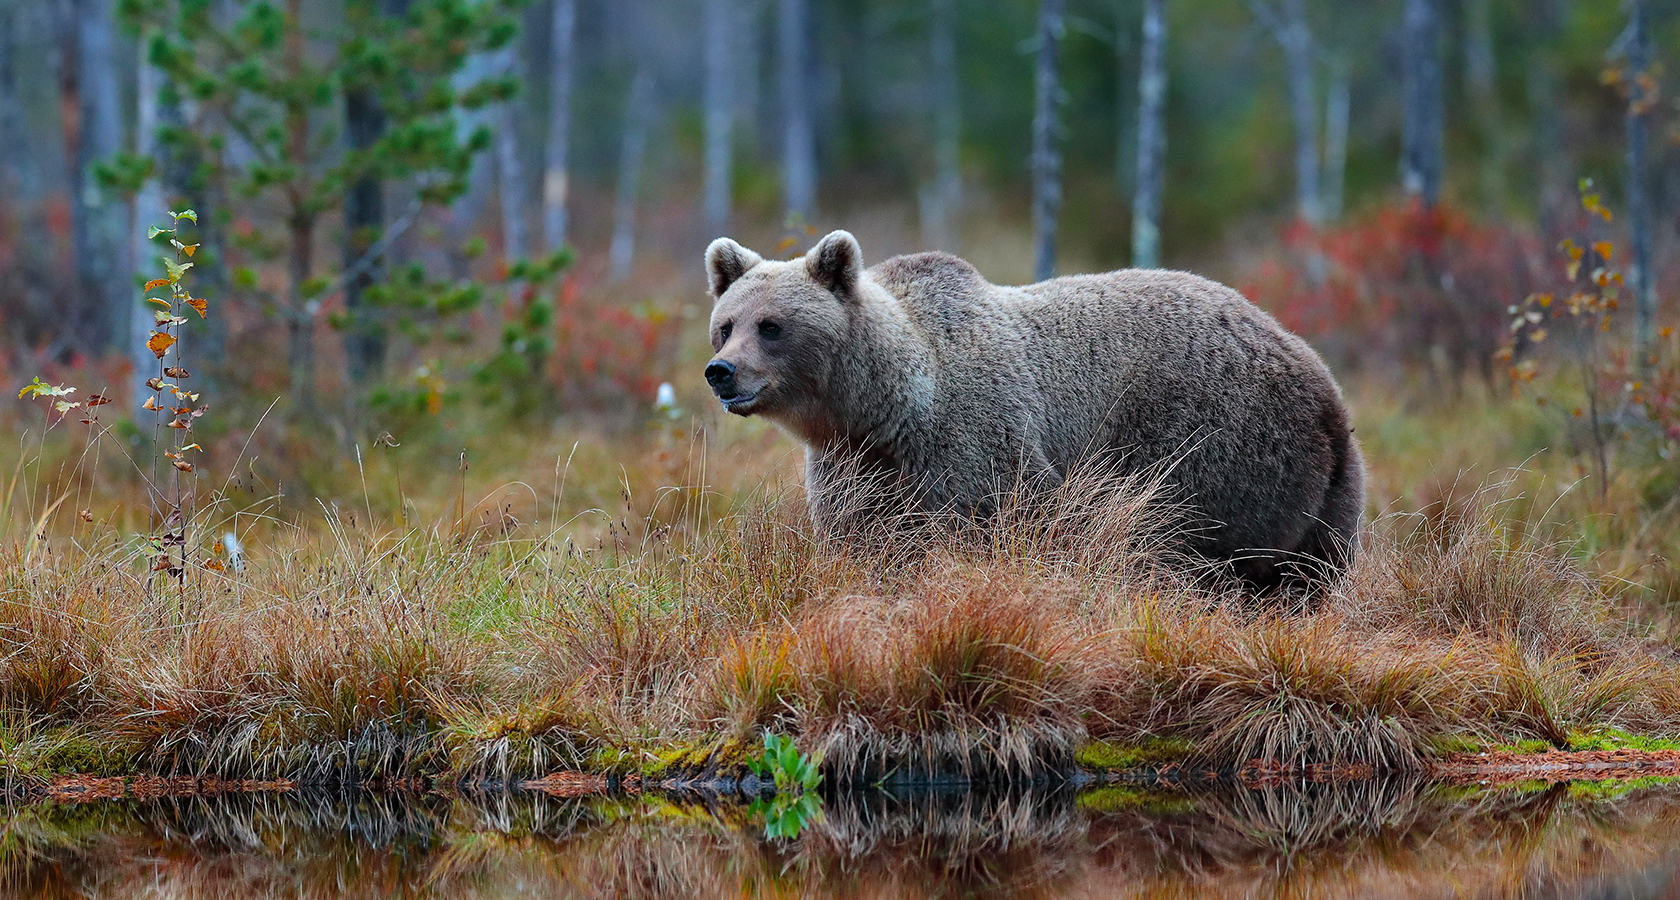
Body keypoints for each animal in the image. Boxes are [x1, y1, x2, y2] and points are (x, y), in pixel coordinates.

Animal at [698, 228, 1364, 587]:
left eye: (772, 326)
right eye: (726, 325)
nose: (721, 372)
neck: (891, 409)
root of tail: (1315, 369)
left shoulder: (977, 444)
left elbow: (1005, 522)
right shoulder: (856, 467)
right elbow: (866, 543)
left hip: (1219, 449)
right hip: (1326, 494)